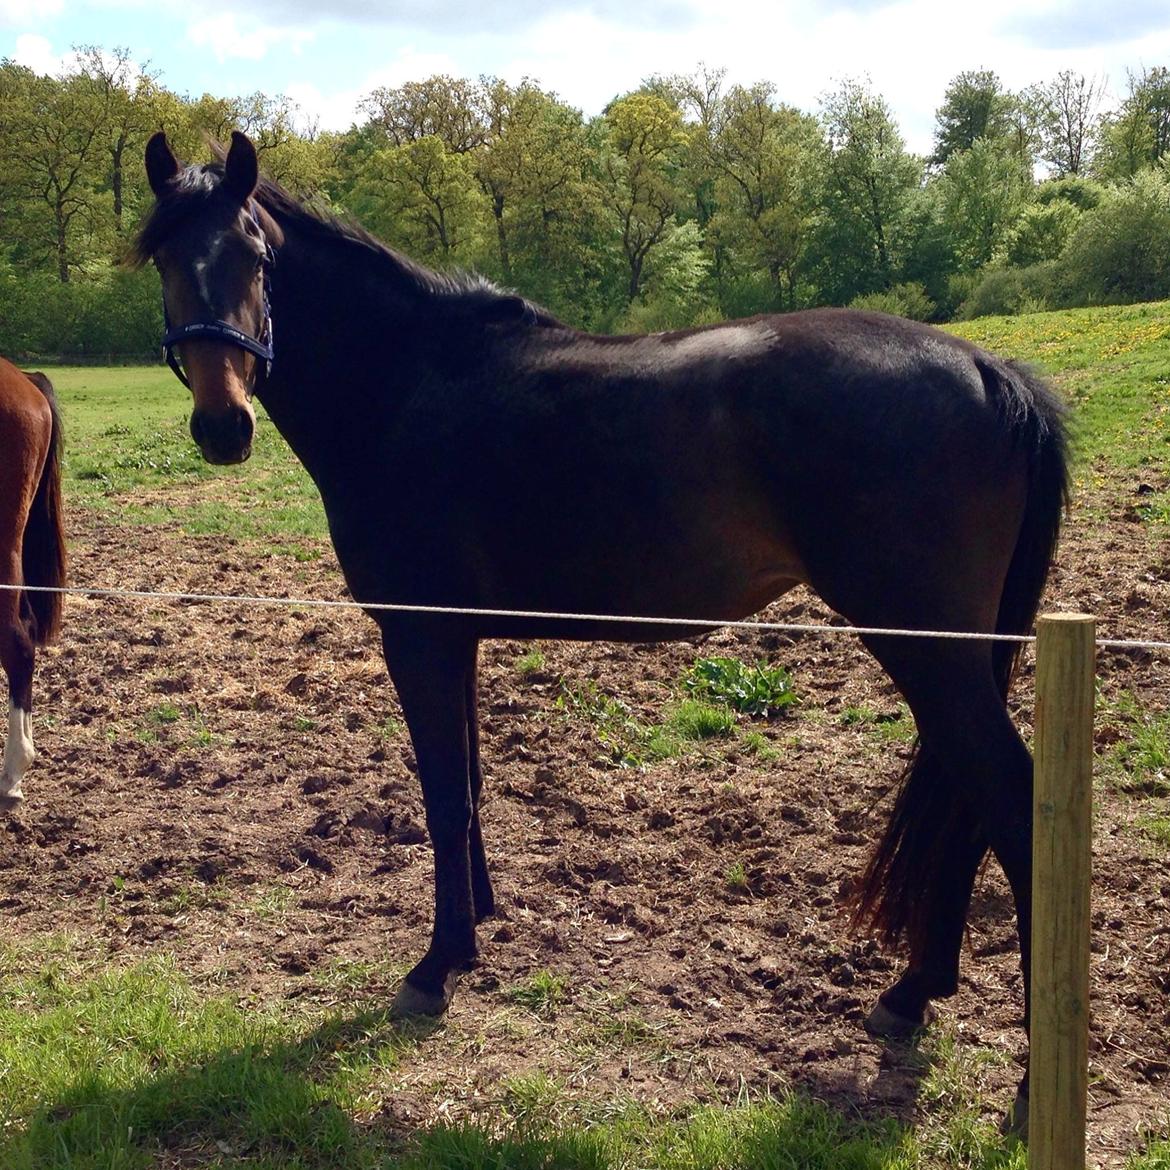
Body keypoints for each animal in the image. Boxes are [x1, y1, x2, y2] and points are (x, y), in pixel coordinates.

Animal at [136, 132, 1071, 1118]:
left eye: (253, 255)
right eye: (163, 256)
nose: (223, 426)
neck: (405, 385)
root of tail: (989, 371)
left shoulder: (418, 637)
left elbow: (441, 794)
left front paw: (435, 966)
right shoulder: (455, 638)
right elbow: (468, 786)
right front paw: (475, 929)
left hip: (929, 652)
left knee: (1009, 800)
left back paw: (1023, 1083)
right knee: (970, 799)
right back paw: (914, 992)